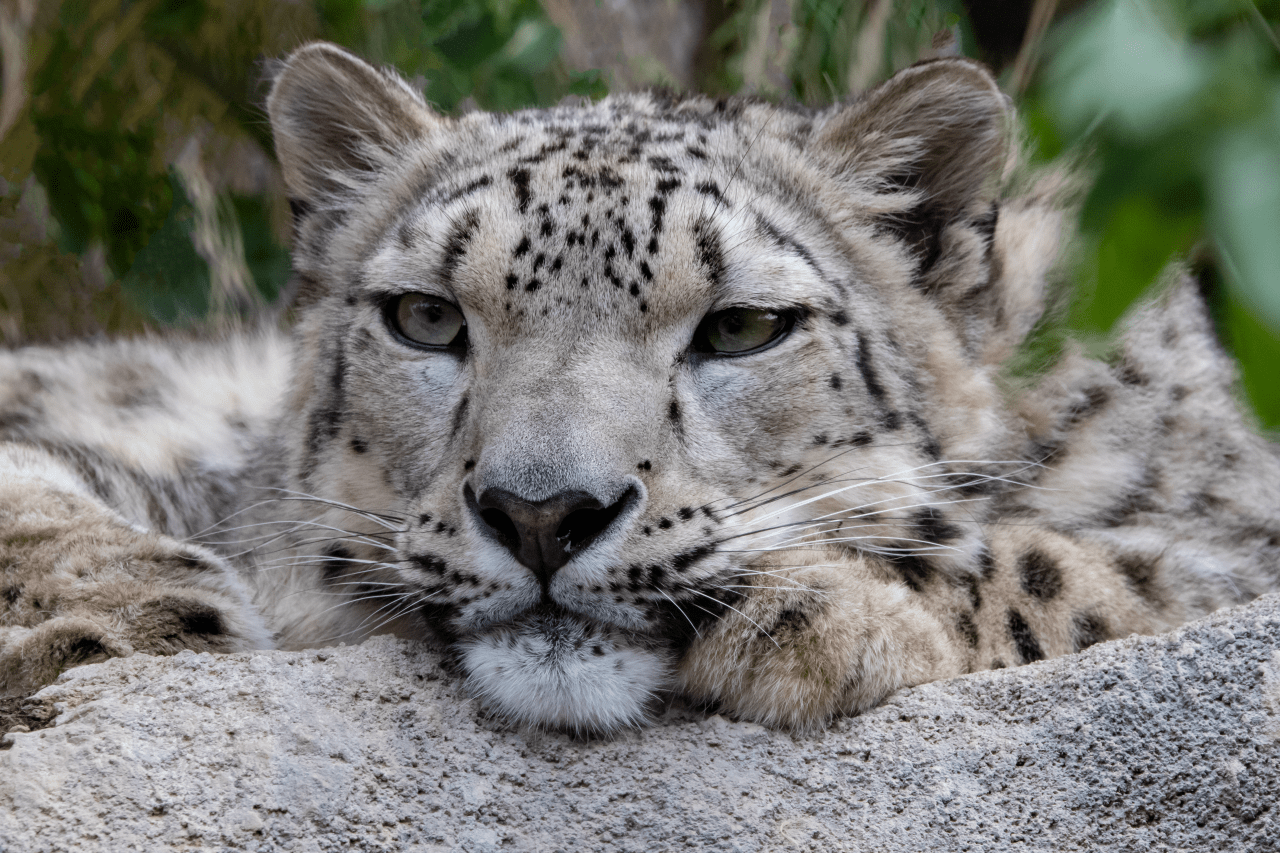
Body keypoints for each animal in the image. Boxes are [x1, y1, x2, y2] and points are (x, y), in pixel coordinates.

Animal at [2, 41, 1280, 732]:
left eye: (742, 327)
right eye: (426, 316)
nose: (539, 513)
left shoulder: (1231, 547)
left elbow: (1071, 570)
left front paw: (815, 611)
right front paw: (132, 614)